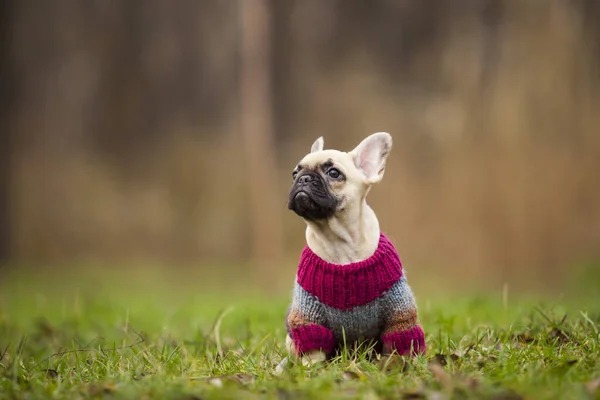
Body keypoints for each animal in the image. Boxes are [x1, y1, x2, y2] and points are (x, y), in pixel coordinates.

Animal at [284, 133, 424, 364]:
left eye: (333, 173)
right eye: (294, 173)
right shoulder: (308, 318)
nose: (303, 179)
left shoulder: (398, 311)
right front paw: (310, 369)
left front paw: (400, 365)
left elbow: (399, 341)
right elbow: (313, 349)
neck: (339, 242)